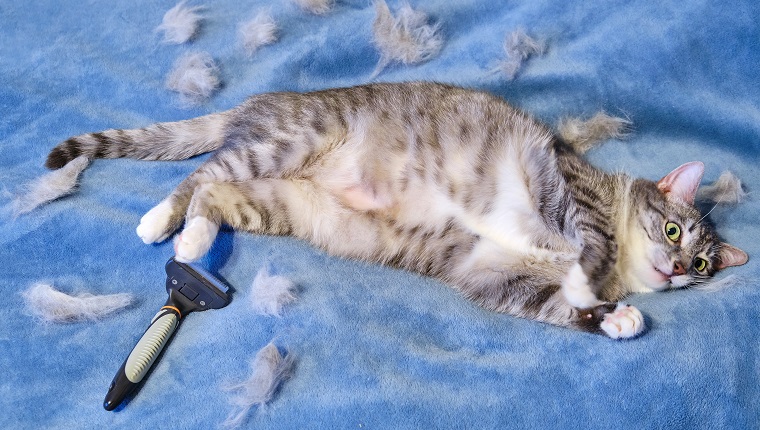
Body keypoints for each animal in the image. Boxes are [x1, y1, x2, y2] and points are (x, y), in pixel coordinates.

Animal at [46, 81, 748, 340]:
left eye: (704, 263)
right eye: (675, 228)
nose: (679, 267)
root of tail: (264, 99)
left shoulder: (492, 277)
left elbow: (555, 307)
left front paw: (616, 317)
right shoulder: (569, 190)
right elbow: (588, 246)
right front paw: (590, 281)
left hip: (279, 203)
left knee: (215, 195)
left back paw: (192, 243)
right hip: (286, 144)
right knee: (201, 175)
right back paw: (162, 225)